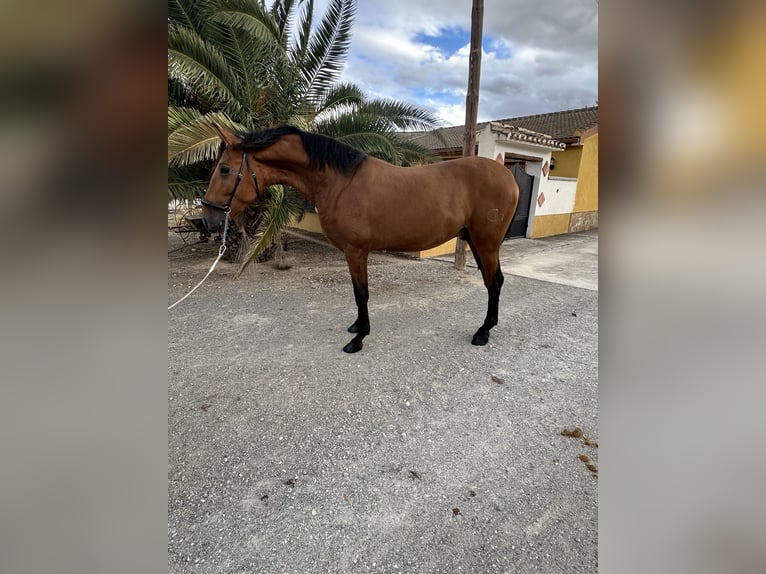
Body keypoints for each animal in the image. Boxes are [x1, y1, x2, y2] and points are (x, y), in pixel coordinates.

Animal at [201, 124, 520, 354]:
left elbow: (361, 293)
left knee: (494, 283)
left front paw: (359, 339)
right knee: (493, 282)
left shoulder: (355, 251)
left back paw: (482, 332)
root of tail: (506, 173)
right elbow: (358, 294)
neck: (341, 182)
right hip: (477, 242)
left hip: (486, 243)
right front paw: (357, 327)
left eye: (225, 169)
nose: (209, 217)